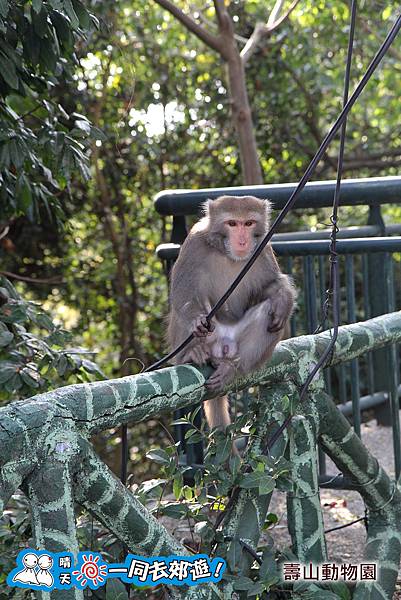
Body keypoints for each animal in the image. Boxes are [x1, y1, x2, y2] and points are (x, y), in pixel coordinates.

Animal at [166, 197, 294, 432]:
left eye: (249, 223)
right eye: (232, 224)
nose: (242, 241)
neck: (227, 254)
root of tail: (222, 349)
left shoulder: (263, 249)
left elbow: (270, 287)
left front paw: (283, 299)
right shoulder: (193, 245)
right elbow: (182, 294)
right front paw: (196, 321)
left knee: (269, 314)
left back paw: (232, 368)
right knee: (183, 315)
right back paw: (191, 353)